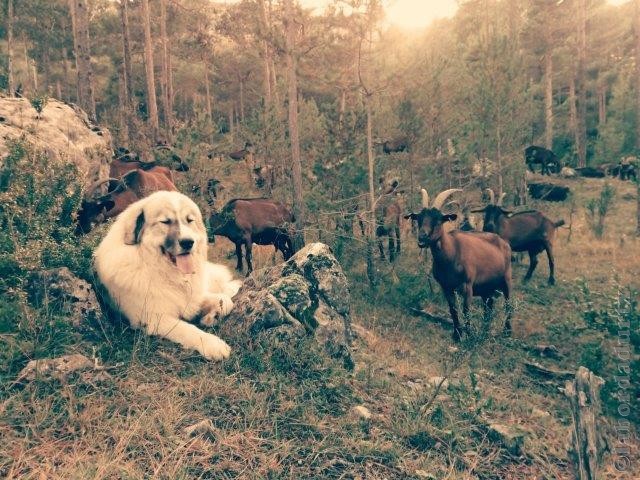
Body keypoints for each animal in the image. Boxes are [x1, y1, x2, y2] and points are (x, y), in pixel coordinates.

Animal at [95, 191, 242, 360]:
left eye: (189, 220)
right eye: (165, 222)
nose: (188, 242)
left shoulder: (192, 298)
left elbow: (226, 302)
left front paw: (212, 316)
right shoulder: (153, 318)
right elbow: (188, 329)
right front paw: (213, 344)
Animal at [408, 188, 512, 342]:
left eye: (438, 220)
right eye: (419, 218)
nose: (422, 237)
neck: (451, 253)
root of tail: (503, 243)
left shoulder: (467, 286)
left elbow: (466, 310)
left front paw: (468, 335)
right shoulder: (446, 287)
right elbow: (453, 310)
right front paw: (457, 335)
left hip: (506, 280)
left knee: (508, 305)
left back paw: (507, 332)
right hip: (486, 289)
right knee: (489, 307)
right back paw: (485, 331)